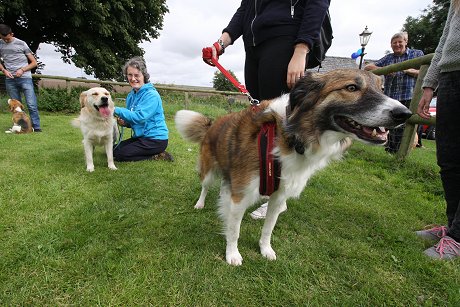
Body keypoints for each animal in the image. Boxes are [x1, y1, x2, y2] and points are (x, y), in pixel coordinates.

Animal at [176, 68, 414, 266]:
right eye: (351, 88)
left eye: (382, 89)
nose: (404, 114)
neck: (291, 135)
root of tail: (212, 123)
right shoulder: (241, 195)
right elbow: (234, 230)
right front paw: (232, 254)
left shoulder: (278, 196)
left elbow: (268, 229)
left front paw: (265, 250)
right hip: (209, 170)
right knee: (205, 186)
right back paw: (200, 203)